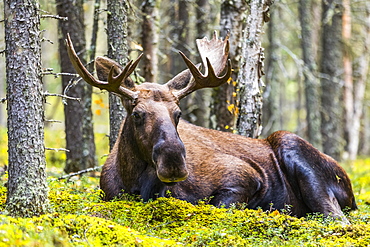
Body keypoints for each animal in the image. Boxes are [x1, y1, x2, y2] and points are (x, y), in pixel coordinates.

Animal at [66, 31, 356, 223]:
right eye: (137, 114)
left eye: (178, 113)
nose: (174, 162)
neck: (133, 181)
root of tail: (352, 191)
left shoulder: (246, 176)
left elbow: (218, 206)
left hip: (292, 145)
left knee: (336, 218)